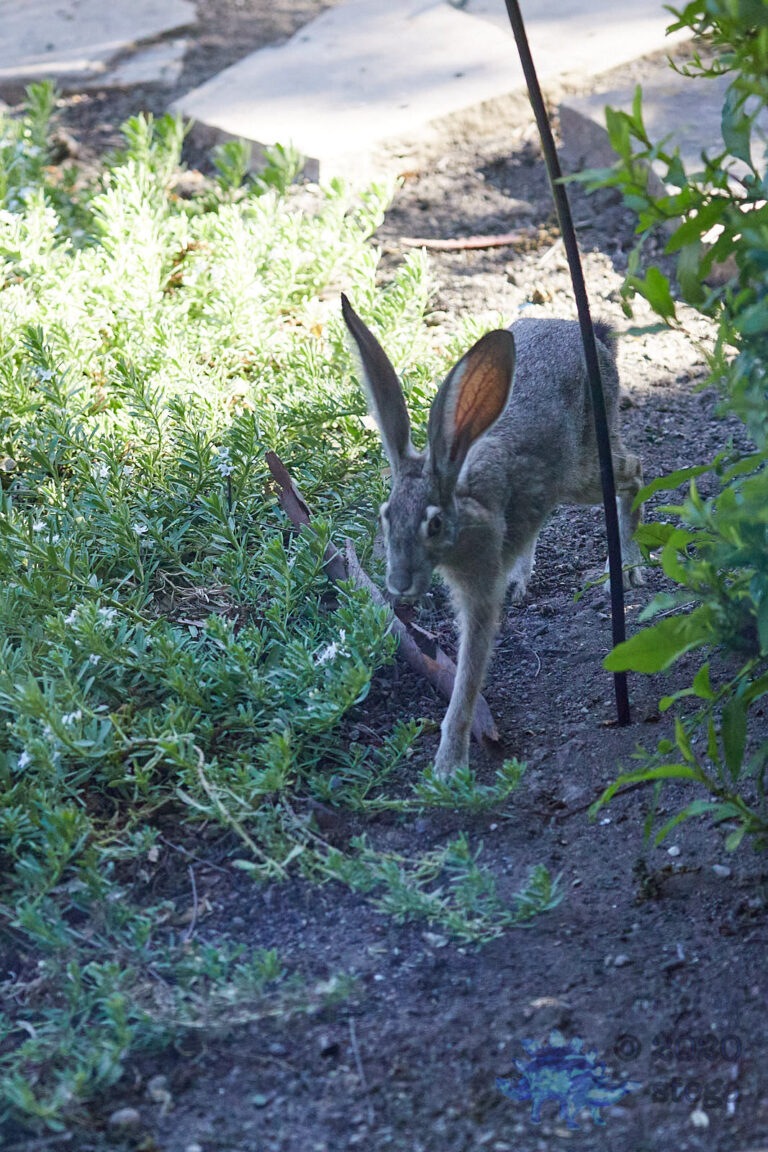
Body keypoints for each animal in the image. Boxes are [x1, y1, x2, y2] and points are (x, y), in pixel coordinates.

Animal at [341, 294, 645, 778]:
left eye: (434, 525)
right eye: (386, 516)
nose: (399, 585)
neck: (462, 505)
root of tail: (592, 336)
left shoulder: (479, 588)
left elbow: (469, 672)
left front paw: (448, 767)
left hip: (584, 470)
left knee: (633, 471)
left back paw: (630, 565)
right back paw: (521, 578)